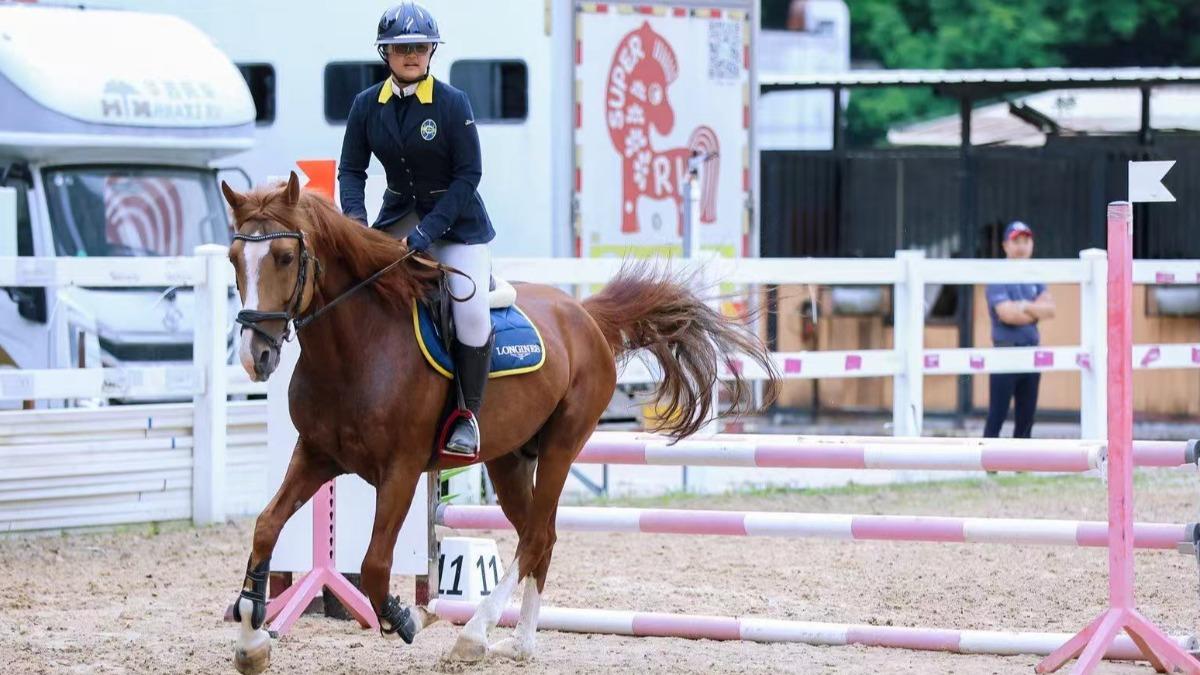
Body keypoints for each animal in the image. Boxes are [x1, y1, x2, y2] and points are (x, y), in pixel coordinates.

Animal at [222, 172, 778, 673]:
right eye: (233, 259)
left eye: (284, 257)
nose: (255, 356)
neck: (357, 348)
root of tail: (584, 315)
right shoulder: (316, 455)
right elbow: (266, 527)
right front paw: (251, 639)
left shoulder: (401, 470)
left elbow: (376, 566)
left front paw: (413, 618)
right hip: (510, 459)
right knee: (542, 536)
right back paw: (522, 643)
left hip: (561, 446)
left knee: (533, 538)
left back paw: (474, 633)